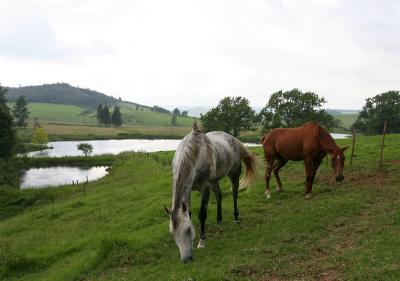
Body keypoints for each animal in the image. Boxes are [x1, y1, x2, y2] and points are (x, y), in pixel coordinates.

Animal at [164, 123, 258, 262]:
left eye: (188, 230)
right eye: (172, 234)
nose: (186, 259)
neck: (196, 154)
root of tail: (234, 140)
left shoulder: (205, 188)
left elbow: (202, 214)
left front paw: (201, 242)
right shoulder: (190, 190)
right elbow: (190, 213)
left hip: (234, 174)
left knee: (235, 193)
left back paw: (236, 218)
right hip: (215, 181)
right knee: (219, 195)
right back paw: (219, 219)